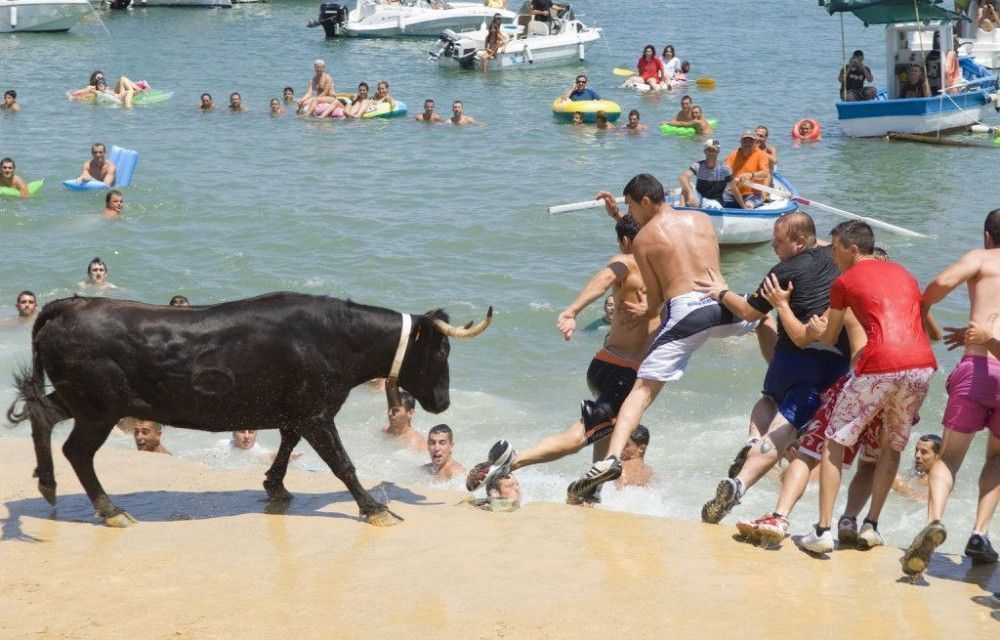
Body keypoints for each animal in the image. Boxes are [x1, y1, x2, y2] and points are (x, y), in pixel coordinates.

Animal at [6, 292, 492, 528]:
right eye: (442, 349)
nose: (443, 401)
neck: (337, 336)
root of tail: (66, 306)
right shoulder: (317, 414)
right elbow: (342, 463)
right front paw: (374, 508)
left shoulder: (297, 413)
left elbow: (287, 446)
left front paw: (275, 487)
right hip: (98, 408)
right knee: (77, 451)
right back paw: (110, 510)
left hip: (78, 399)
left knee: (41, 415)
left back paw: (48, 485)